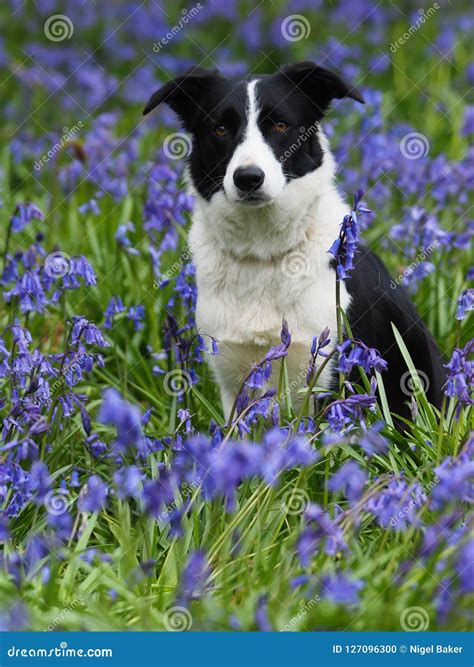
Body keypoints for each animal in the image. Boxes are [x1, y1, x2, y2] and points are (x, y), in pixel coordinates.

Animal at [143, 61, 444, 418]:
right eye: (220, 129)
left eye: (280, 125)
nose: (248, 178)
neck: (263, 253)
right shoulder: (233, 383)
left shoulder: (332, 374)